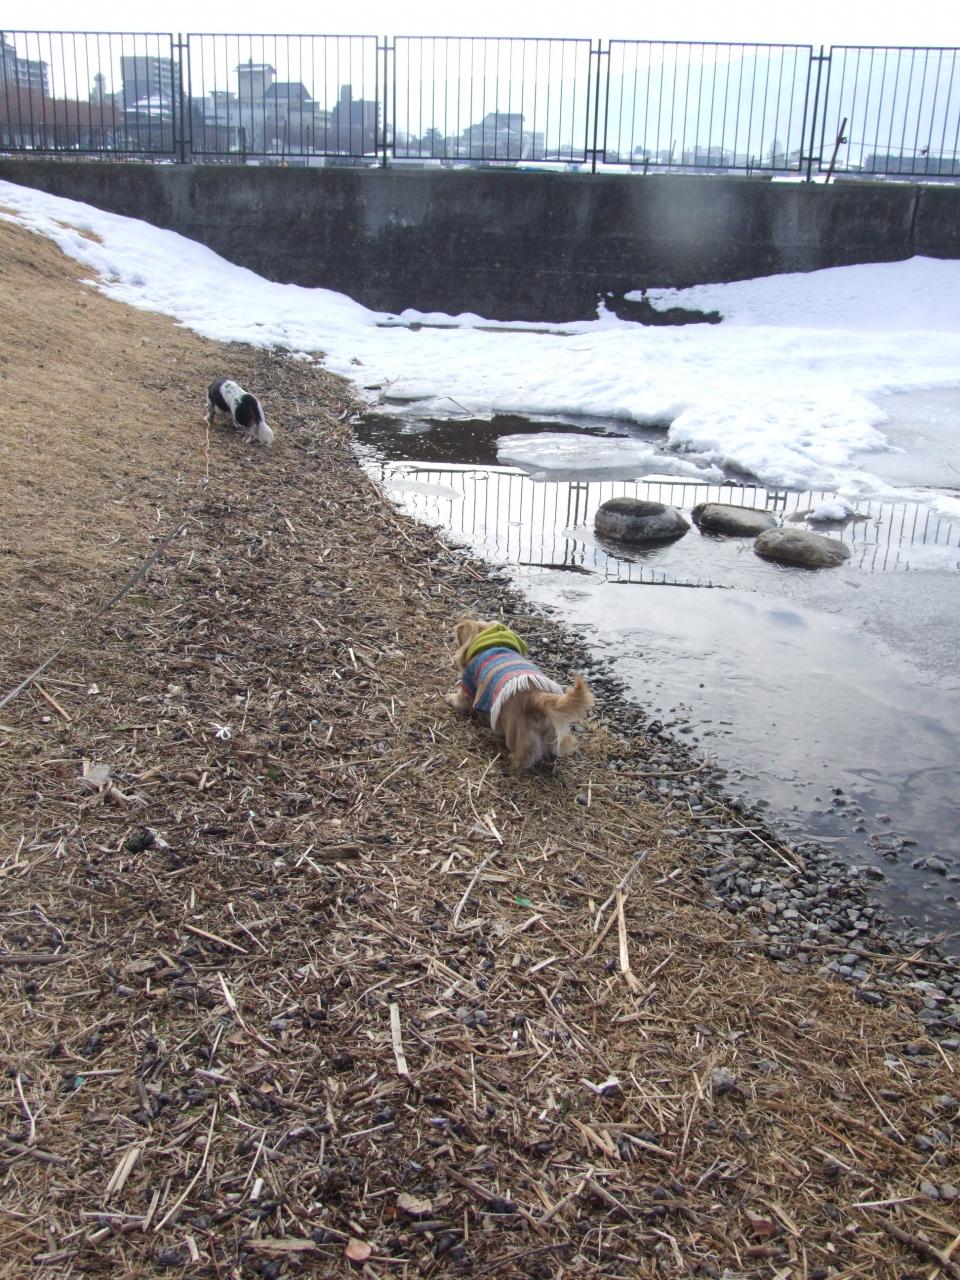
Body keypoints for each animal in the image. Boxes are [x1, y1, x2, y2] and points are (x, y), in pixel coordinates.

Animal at [446, 619, 594, 770]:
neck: (491, 640)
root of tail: (536, 696)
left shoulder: (468, 685)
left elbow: (461, 701)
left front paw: (449, 698)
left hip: (517, 736)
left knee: (522, 758)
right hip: (552, 735)